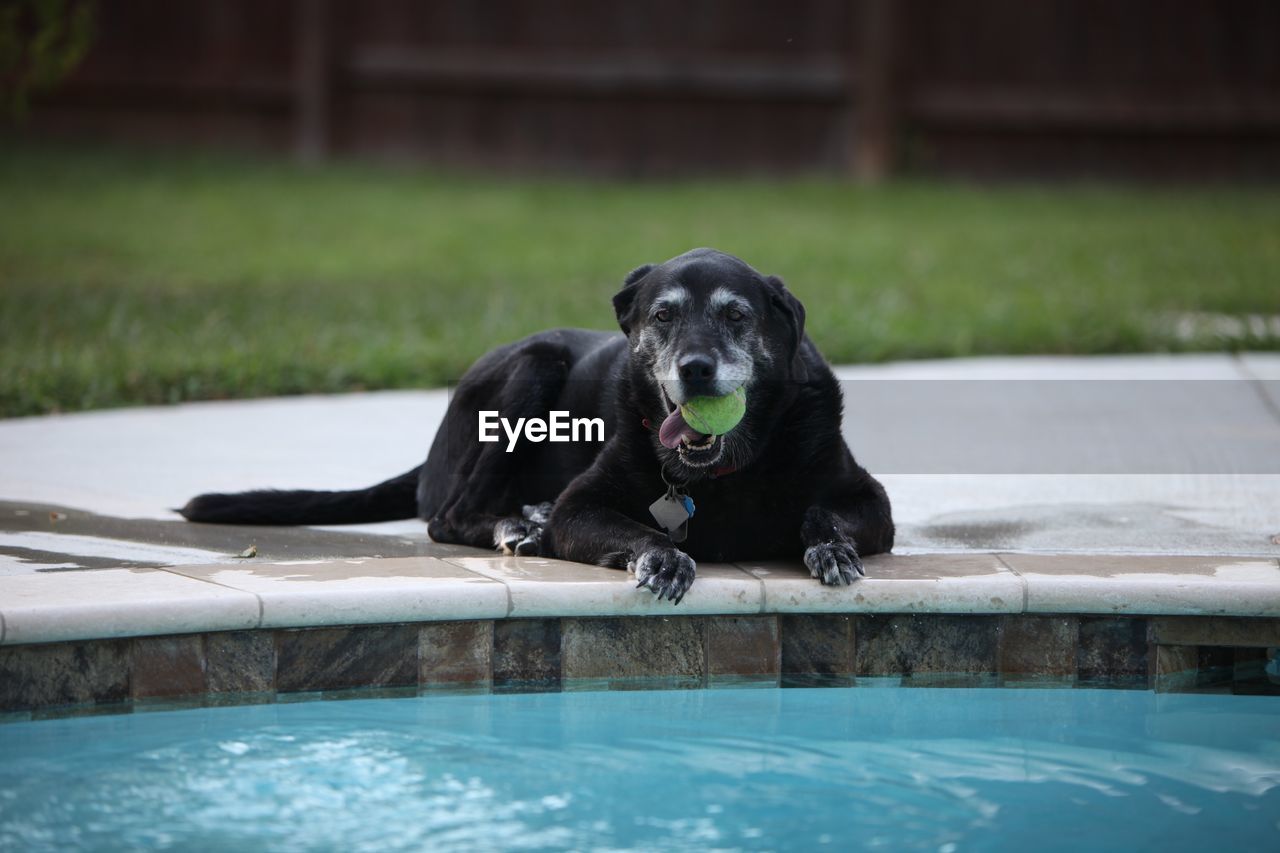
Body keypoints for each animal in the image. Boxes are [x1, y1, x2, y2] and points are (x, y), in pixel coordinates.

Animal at [185, 249, 896, 601]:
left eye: (737, 315)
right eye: (663, 316)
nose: (694, 371)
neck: (725, 470)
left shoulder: (873, 505)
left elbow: (825, 513)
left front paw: (831, 548)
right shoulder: (582, 509)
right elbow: (639, 530)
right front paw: (665, 557)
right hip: (532, 368)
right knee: (449, 517)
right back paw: (517, 525)